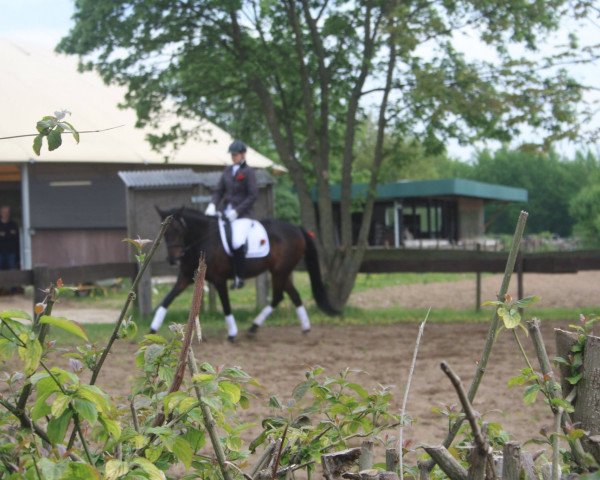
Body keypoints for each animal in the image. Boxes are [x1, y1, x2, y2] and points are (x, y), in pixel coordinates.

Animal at [149, 207, 338, 342]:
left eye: (178, 230)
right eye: (164, 232)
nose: (173, 260)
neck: (203, 240)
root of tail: (296, 228)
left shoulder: (219, 280)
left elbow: (226, 305)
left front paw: (232, 334)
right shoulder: (185, 278)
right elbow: (166, 301)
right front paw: (152, 329)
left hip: (280, 271)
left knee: (278, 296)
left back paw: (254, 327)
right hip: (282, 272)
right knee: (293, 295)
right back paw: (304, 328)